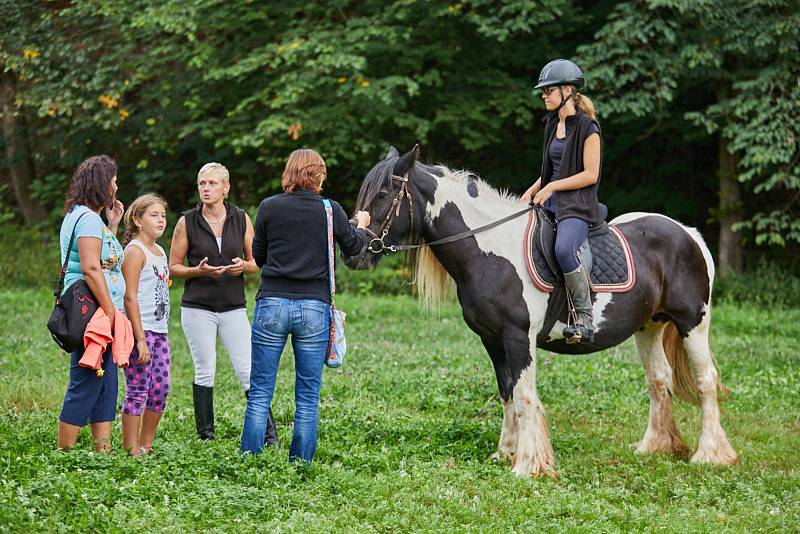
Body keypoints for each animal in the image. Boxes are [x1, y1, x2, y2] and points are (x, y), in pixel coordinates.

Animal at [344, 147, 736, 478]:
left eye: (382, 195)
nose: (353, 251)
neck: (490, 251)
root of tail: (690, 235)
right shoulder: (492, 340)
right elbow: (507, 393)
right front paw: (506, 452)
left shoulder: (519, 337)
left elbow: (525, 395)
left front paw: (528, 465)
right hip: (649, 327)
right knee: (659, 380)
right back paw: (654, 448)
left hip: (693, 323)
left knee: (706, 380)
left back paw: (710, 455)